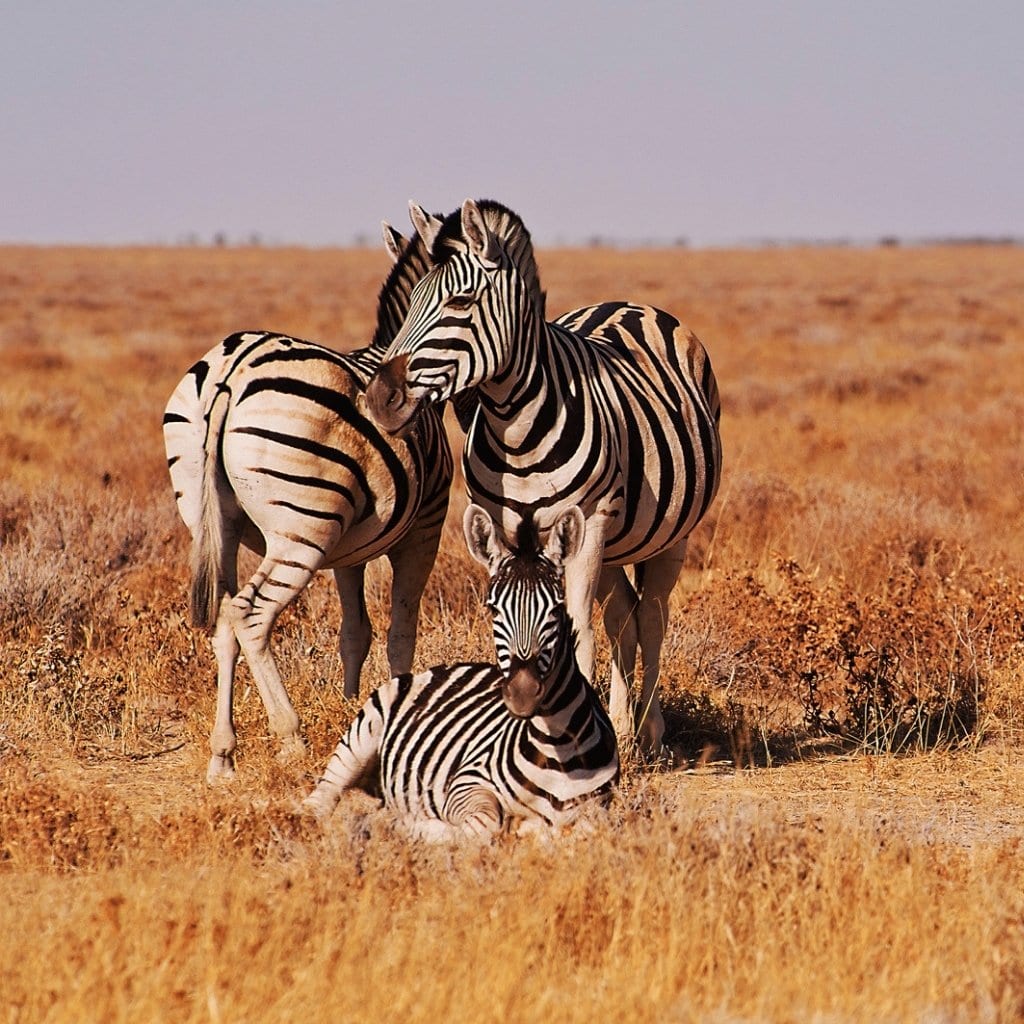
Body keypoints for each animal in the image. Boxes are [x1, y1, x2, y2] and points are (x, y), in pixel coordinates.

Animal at [163, 222, 452, 783]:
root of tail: (233, 370)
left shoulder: (349, 552)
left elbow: (355, 631)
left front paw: (354, 707)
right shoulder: (423, 531)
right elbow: (402, 629)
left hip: (213, 519)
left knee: (225, 617)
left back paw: (222, 753)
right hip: (303, 530)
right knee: (251, 616)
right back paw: (290, 738)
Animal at [303, 504, 619, 839]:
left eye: (557, 609)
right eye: (493, 609)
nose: (521, 694)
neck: (555, 745)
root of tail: (446, 666)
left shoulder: (600, 809)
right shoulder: (466, 782)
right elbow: (485, 824)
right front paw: (413, 826)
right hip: (360, 738)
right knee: (321, 799)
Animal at [365, 198, 722, 756]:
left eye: (461, 302)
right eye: (410, 305)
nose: (379, 400)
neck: (515, 425)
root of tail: (629, 304)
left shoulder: (588, 521)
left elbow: (578, 633)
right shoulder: (506, 529)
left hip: (668, 534)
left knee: (652, 617)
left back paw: (650, 730)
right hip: (612, 544)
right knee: (623, 617)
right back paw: (624, 724)